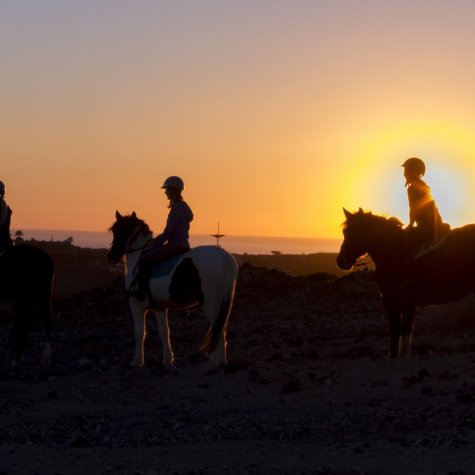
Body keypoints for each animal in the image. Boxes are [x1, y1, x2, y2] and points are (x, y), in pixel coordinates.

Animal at [107, 212, 238, 368]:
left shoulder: (136, 304)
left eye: (119, 230)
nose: (111, 257)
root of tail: (225, 258)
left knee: (218, 329)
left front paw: (137, 361)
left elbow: (139, 333)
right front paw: (168, 360)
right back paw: (218, 362)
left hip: (212, 303)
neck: (138, 259)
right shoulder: (159, 307)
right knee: (219, 329)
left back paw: (217, 363)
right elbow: (164, 332)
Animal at [336, 206, 475, 358]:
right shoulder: (405, 302)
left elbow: (397, 330)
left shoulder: (395, 300)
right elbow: (405, 330)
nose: (340, 261)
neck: (395, 253)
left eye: (353, 232)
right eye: (344, 232)